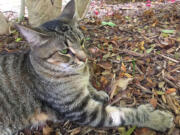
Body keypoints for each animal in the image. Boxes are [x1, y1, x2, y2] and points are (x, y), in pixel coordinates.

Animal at [0, 0, 174, 134]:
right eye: (64, 51)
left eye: (82, 41)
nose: (84, 59)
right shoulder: (81, 110)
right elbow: (124, 114)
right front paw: (156, 119)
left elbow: (89, 87)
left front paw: (97, 93)